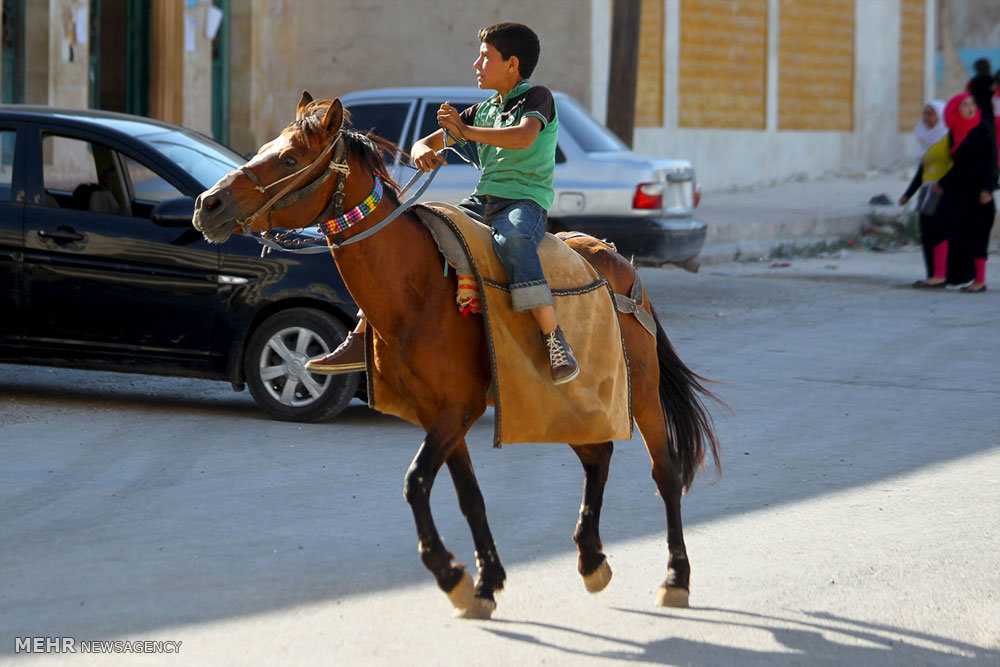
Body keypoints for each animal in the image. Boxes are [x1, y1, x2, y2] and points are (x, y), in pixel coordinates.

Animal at [193, 92, 720, 620]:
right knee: (598, 456)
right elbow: (468, 496)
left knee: (665, 471)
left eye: (288, 159)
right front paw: (485, 582)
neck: (419, 289)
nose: (207, 204)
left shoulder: (458, 408)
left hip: (644, 393)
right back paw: (591, 560)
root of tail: (621, 267)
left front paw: (451, 576)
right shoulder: (437, 413)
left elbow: (415, 482)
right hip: (559, 399)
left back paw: (676, 577)